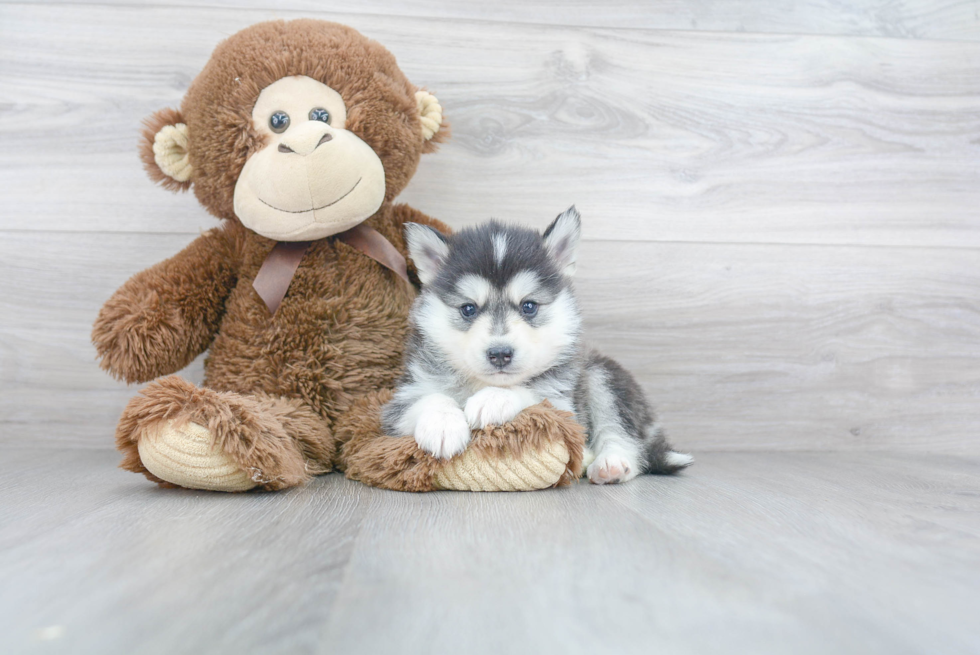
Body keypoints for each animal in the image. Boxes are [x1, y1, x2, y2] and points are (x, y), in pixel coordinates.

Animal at [378, 208, 692, 484]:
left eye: (528, 306)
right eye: (468, 309)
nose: (500, 354)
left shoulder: (564, 405)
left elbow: (529, 392)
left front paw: (493, 399)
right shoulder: (398, 403)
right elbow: (429, 398)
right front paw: (443, 424)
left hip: (603, 375)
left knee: (625, 437)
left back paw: (610, 464)